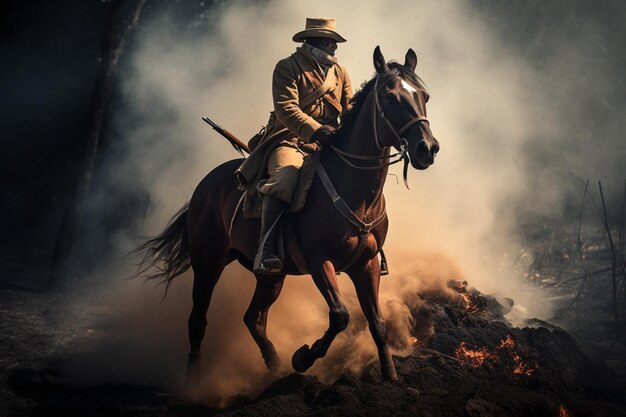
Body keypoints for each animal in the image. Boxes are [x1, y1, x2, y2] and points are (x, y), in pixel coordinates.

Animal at [135, 47, 438, 382]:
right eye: (390, 97)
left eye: (424, 95)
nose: (427, 148)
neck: (354, 191)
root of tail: (204, 186)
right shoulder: (320, 261)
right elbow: (340, 316)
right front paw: (303, 357)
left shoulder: (367, 264)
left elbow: (378, 324)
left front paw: (390, 375)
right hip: (208, 264)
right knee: (198, 320)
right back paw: (196, 382)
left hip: (271, 275)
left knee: (253, 317)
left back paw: (275, 368)